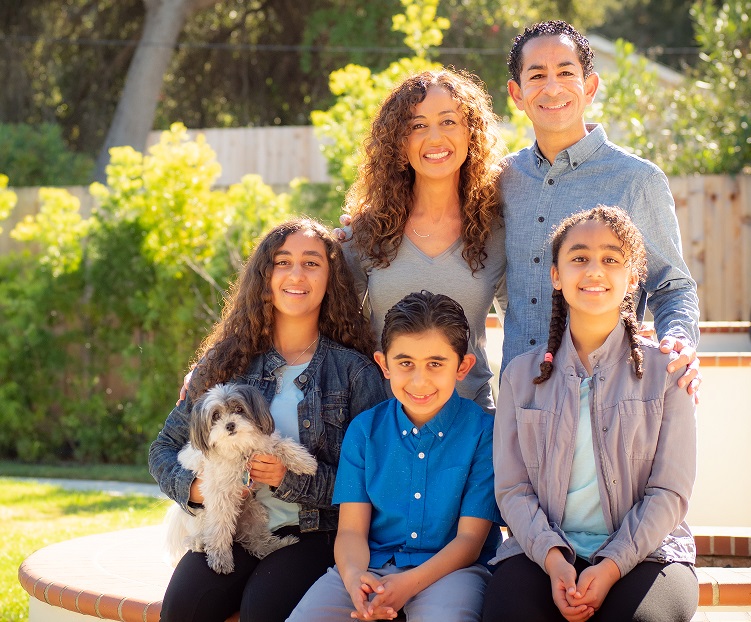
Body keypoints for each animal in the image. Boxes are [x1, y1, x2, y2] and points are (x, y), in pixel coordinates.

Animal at [164, 386, 318, 576]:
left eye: (239, 409)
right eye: (216, 415)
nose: (230, 425)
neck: (240, 448)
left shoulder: (265, 445)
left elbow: (282, 445)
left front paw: (305, 462)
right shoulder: (220, 497)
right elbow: (219, 528)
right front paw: (221, 559)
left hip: (254, 511)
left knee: (258, 543)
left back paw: (279, 545)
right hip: (203, 517)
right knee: (199, 536)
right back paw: (200, 543)